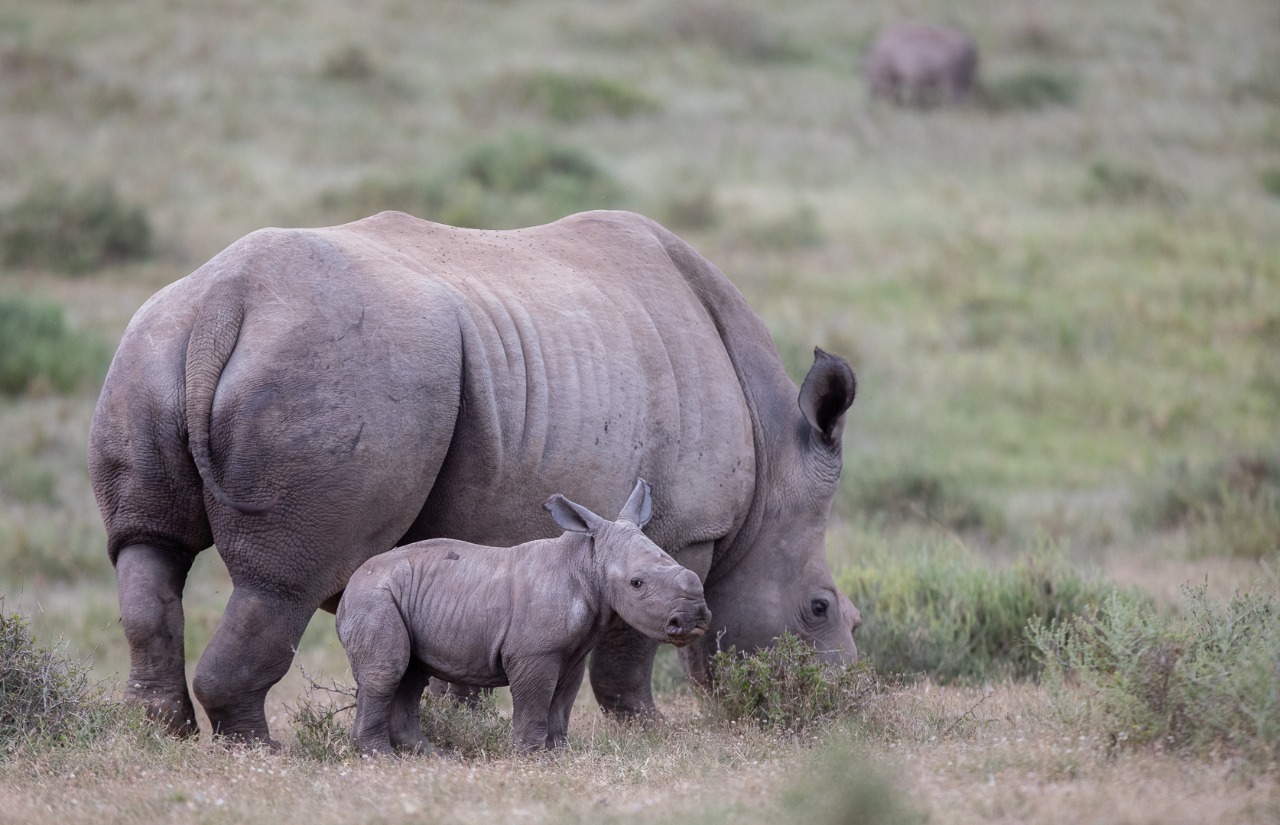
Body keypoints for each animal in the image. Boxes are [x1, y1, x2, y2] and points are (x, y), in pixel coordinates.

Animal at [335, 478, 711, 757]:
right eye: (637, 583)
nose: (693, 617)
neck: (586, 562)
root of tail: (349, 586)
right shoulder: (534, 652)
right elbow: (536, 702)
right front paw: (531, 757)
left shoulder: (573, 653)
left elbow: (561, 704)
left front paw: (559, 755)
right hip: (374, 598)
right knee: (389, 671)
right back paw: (381, 758)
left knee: (412, 674)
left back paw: (432, 756)